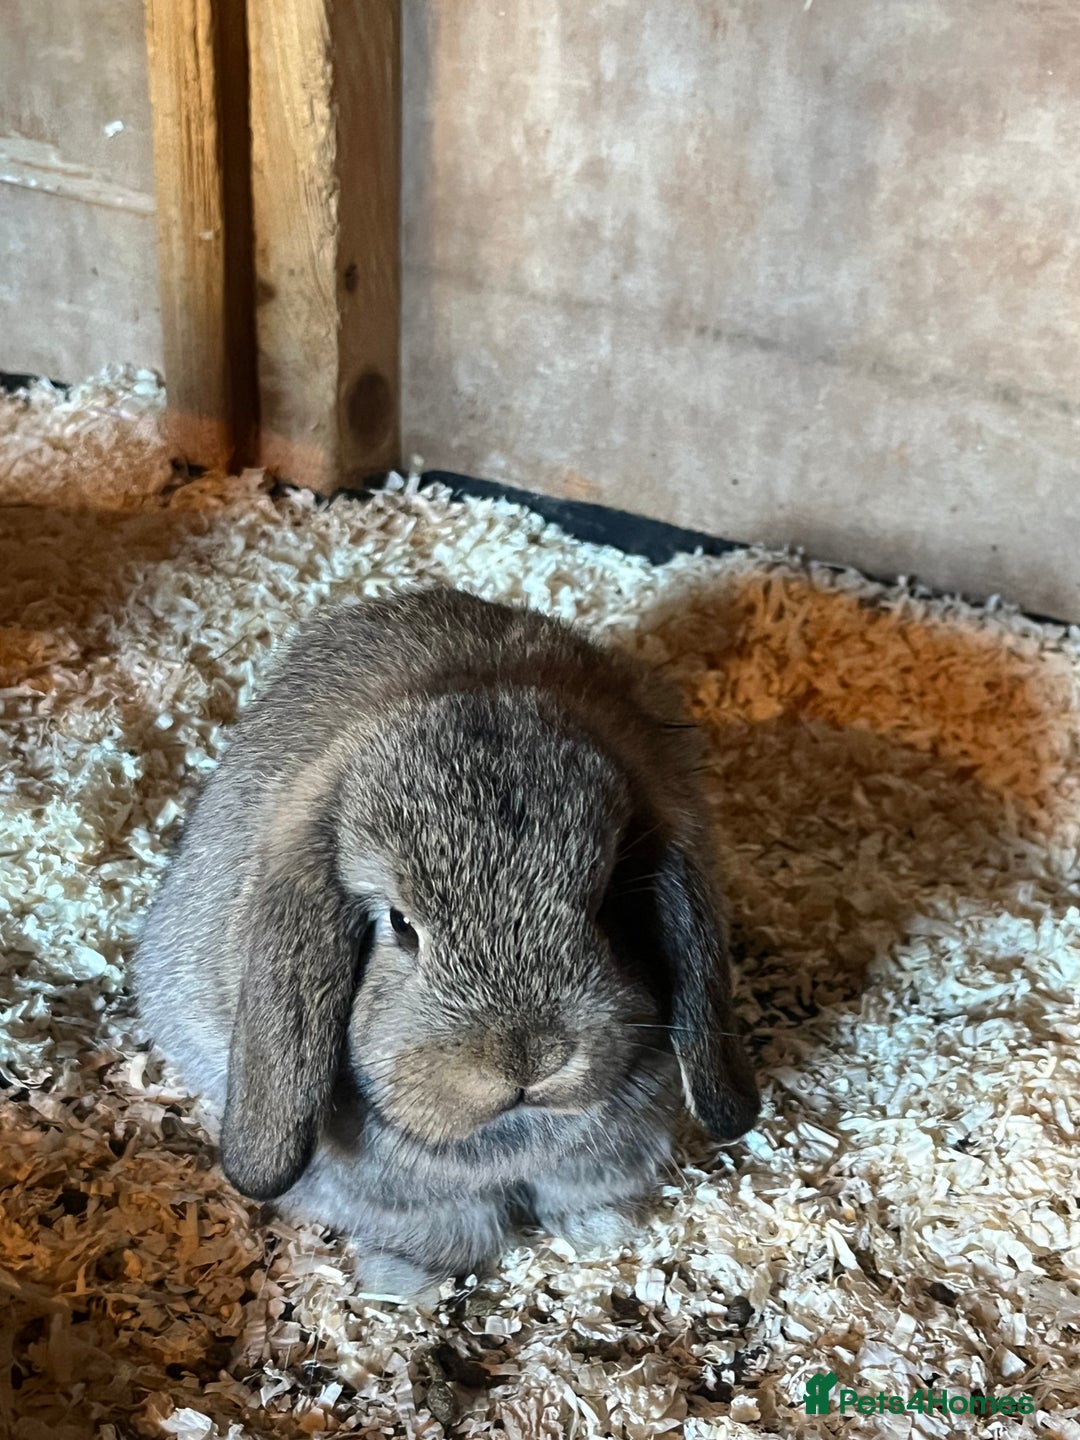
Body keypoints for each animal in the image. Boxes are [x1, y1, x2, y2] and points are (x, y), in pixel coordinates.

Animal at [134, 585, 759, 1299]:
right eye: (401, 925)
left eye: (604, 903)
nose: (527, 1059)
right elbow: (444, 1233)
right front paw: (404, 1283)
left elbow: (584, 1194)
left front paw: (602, 1233)